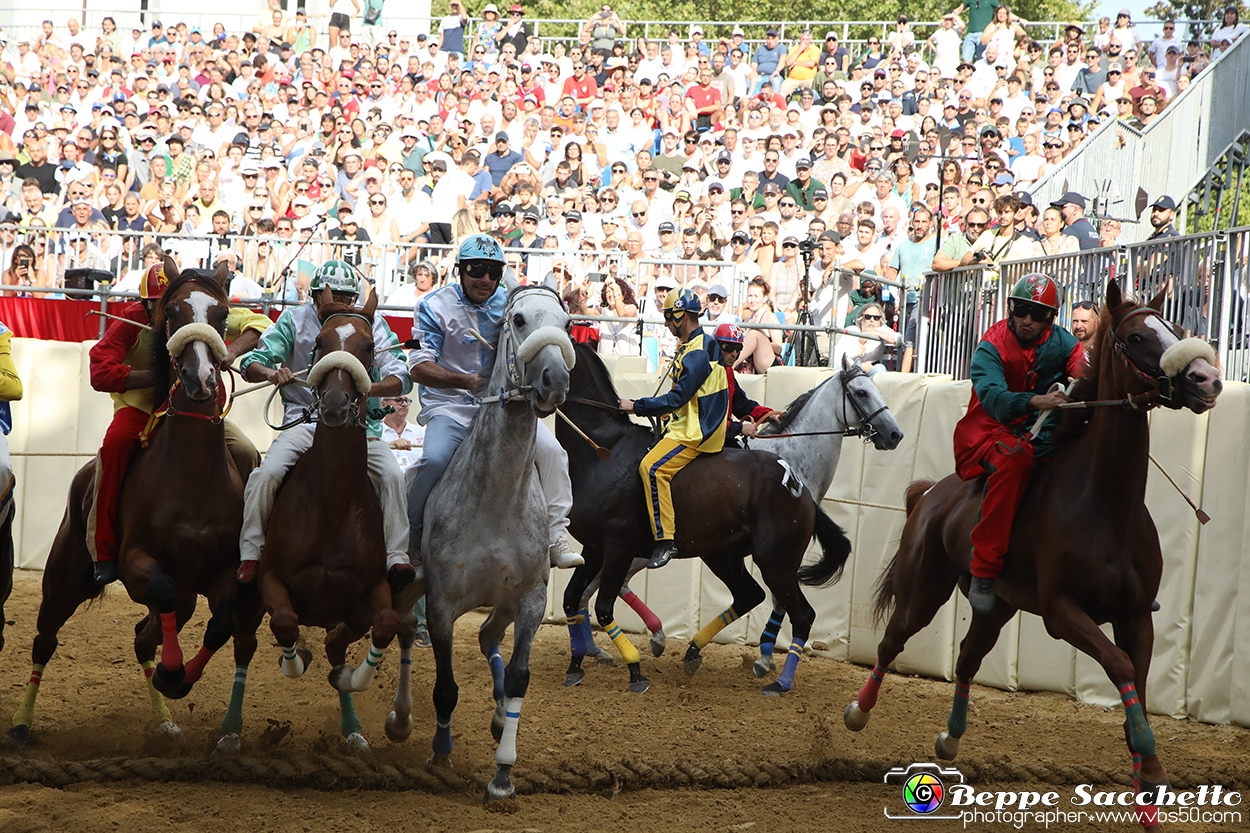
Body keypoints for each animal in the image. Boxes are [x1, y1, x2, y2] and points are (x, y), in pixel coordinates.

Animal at [3, 262, 258, 740]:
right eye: (173, 312)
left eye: (220, 313)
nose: (200, 378)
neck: (192, 473)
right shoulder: (138, 560)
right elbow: (160, 587)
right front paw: (173, 673)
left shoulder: (221, 570)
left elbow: (221, 622)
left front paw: (178, 678)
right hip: (64, 578)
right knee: (45, 640)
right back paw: (22, 722)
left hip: (184, 597)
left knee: (145, 637)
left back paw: (165, 720)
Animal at [227, 287, 402, 750]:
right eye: (320, 343)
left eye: (370, 346)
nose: (338, 404)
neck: (332, 505)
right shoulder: (272, 580)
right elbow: (287, 623)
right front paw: (296, 658)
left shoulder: (371, 589)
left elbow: (383, 625)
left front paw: (348, 676)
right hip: (246, 599)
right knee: (244, 646)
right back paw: (229, 731)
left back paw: (353, 728)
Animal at [850, 278, 1220, 825]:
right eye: (1135, 338)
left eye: (1174, 327)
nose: (1207, 378)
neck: (1106, 503)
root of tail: (932, 491)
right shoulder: (1061, 612)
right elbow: (1120, 667)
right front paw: (1148, 764)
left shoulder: (1136, 615)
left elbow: (1137, 680)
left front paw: (1147, 775)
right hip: (923, 588)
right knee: (891, 643)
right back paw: (858, 711)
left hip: (997, 605)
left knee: (967, 658)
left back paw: (949, 741)